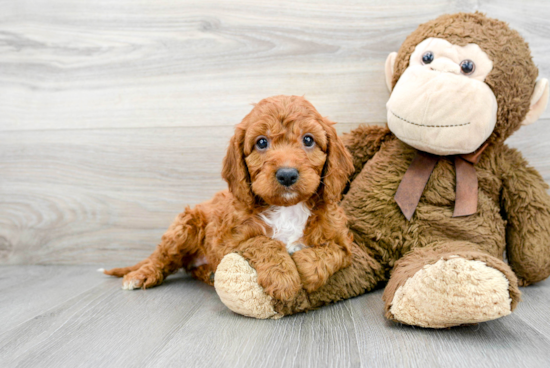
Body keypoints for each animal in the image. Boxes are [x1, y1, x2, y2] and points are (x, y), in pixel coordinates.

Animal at [104, 95, 354, 302]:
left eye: (308, 140)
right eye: (261, 142)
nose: (287, 175)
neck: (287, 208)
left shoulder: (344, 240)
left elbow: (333, 251)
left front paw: (303, 266)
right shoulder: (230, 239)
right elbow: (262, 241)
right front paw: (283, 278)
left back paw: (209, 273)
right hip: (185, 225)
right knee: (162, 257)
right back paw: (141, 275)